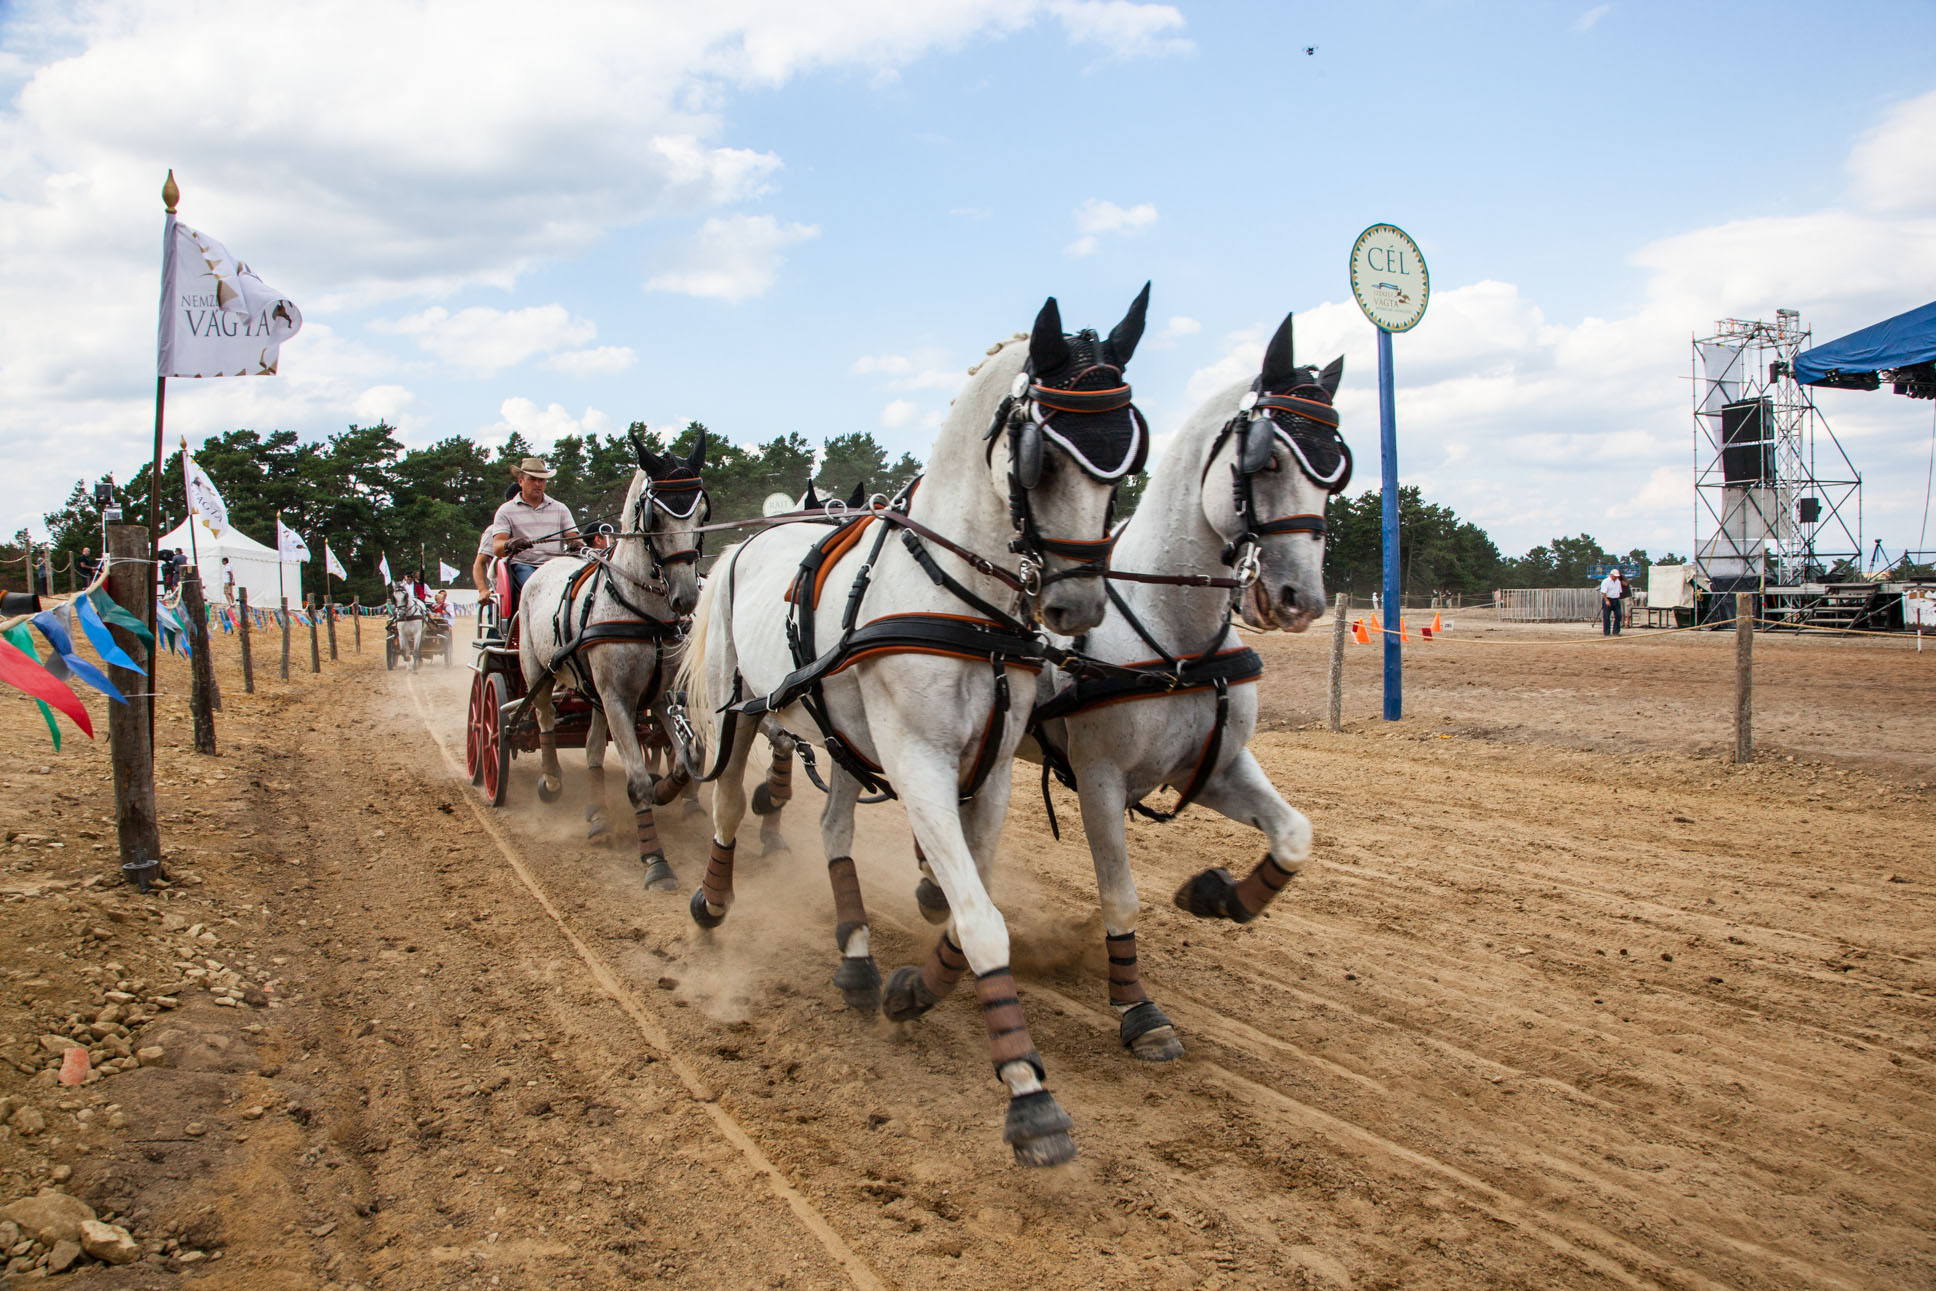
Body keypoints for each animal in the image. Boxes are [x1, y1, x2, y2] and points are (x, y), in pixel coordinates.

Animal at [677, 292, 1146, 1169]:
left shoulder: (988, 770)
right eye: (1040, 456)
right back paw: (712, 905)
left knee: (833, 829)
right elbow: (982, 918)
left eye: (1125, 459)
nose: (1076, 606)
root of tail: (748, 543)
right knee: (724, 806)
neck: (966, 604)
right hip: (739, 710)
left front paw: (914, 989)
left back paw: (858, 956)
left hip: (837, 735)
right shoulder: (919, 760)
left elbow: (969, 905)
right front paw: (1030, 1095)